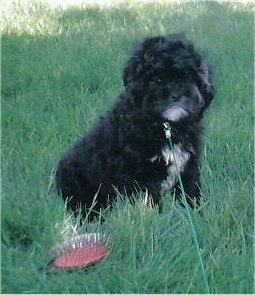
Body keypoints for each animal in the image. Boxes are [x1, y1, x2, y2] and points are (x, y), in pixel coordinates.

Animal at [55, 34, 215, 220]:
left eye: (188, 77)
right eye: (158, 79)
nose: (176, 94)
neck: (166, 126)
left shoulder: (188, 168)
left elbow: (190, 196)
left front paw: (197, 216)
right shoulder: (143, 176)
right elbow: (151, 203)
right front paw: (155, 220)